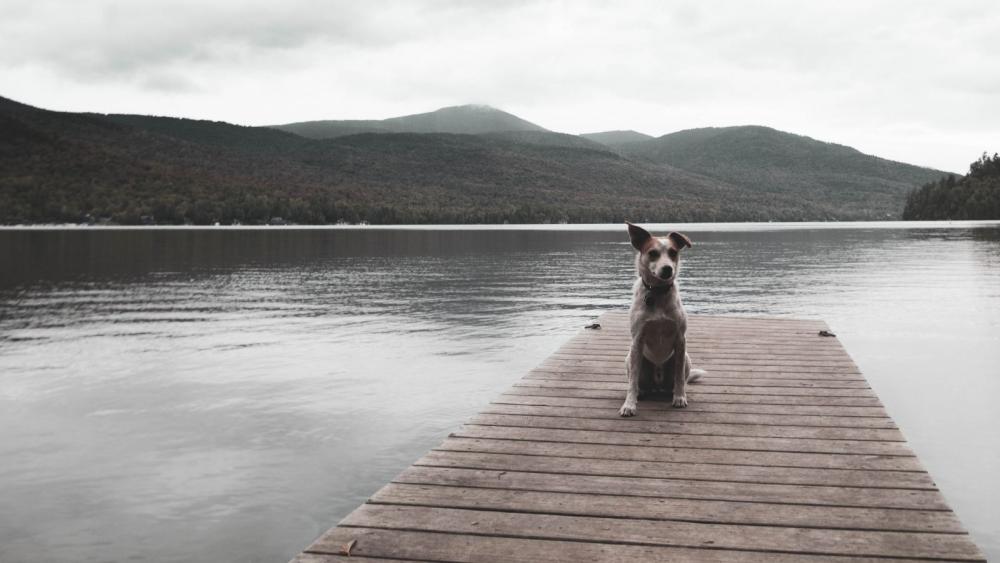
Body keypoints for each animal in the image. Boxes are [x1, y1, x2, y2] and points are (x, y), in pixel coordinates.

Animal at [616, 223, 704, 416]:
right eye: (652, 253)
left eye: (673, 252)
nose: (668, 269)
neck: (657, 293)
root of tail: (657, 384)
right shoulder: (637, 340)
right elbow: (632, 382)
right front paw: (629, 405)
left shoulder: (680, 340)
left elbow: (679, 378)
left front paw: (679, 398)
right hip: (629, 358)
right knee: (638, 383)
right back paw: (641, 393)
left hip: (687, 359)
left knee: (679, 379)